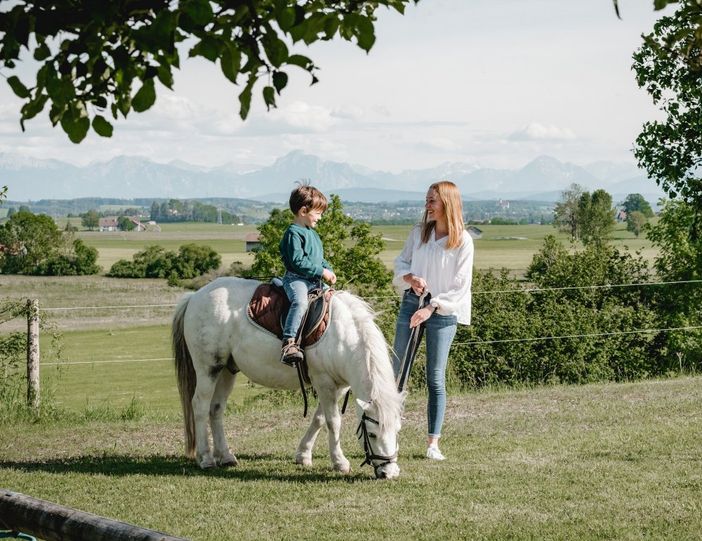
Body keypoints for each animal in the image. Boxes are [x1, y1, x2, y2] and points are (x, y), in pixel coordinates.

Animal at [173, 276, 404, 478]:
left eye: (398, 430)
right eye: (372, 434)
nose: (389, 473)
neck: (343, 335)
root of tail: (195, 296)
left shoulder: (339, 386)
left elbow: (319, 419)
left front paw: (303, 455)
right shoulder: (324, 382)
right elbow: (333, 422)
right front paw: (340, 462)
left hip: (226, 370)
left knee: (216, 409)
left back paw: (226, 456)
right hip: (208, 368)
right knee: (200, 406)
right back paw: (206, 458)